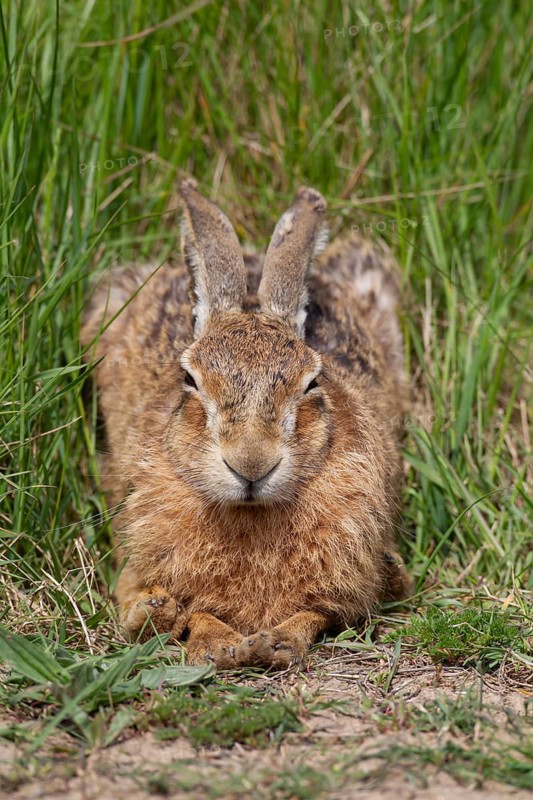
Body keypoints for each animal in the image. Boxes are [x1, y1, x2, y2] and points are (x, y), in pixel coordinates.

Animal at [81, 180, 411, 669]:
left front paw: (277, 643)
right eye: (190, 379)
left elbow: (317, 612)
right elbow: (192, 611)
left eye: (313, 381)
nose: (251, 464)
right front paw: (215, 644)